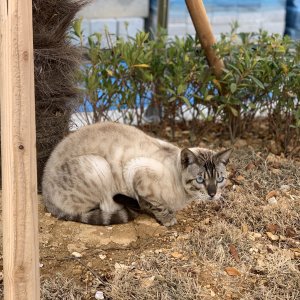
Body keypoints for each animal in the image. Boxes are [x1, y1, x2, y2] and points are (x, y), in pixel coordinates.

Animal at [41, 120, 232, 226]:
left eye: (220, 179)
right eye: (200, 180)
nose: (213, 194)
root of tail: (44, 193)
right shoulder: (136, 173)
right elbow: (156, 205)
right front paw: (167, 219)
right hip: (98, 165)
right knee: (106, 207)